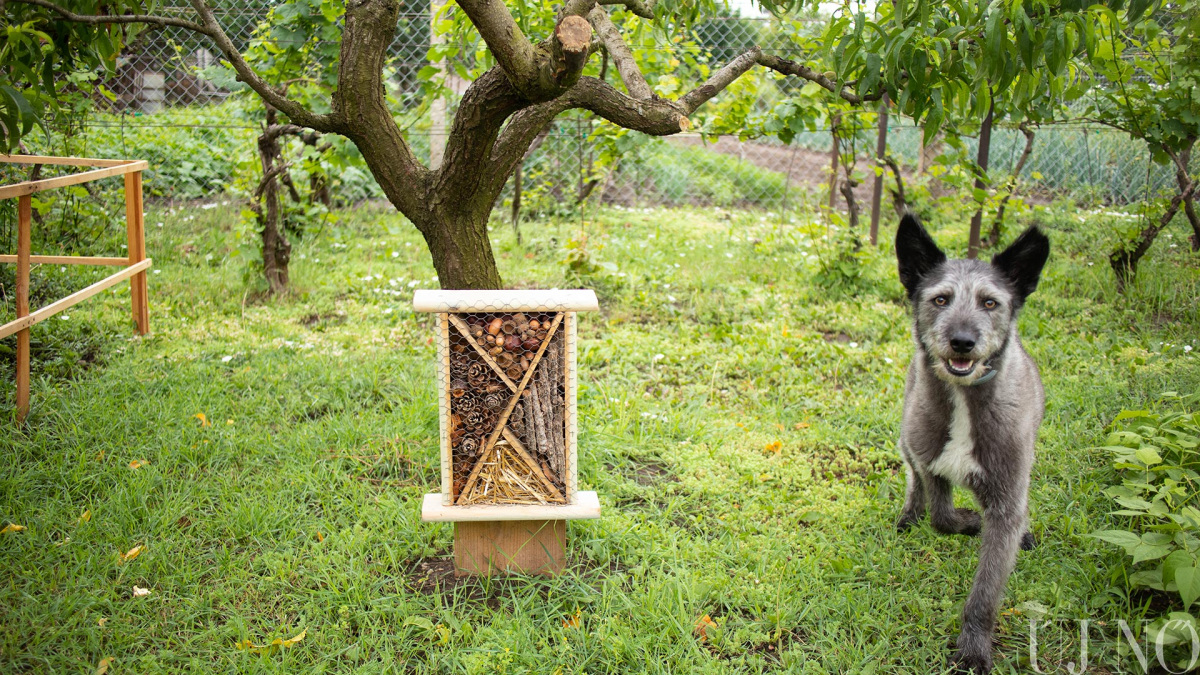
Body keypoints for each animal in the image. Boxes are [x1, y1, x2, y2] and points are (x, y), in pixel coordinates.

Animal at [892, 213, 1051, 672]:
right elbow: (941, 516)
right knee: (913, 482)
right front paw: (967, 522)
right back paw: (909, 514)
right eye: (941, 299)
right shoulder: (932, 465)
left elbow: (986, 592)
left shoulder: (1008, 500)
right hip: (907, 438)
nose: (962, 341)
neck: (964, 401)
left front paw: (974, 649)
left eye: (990, 303)